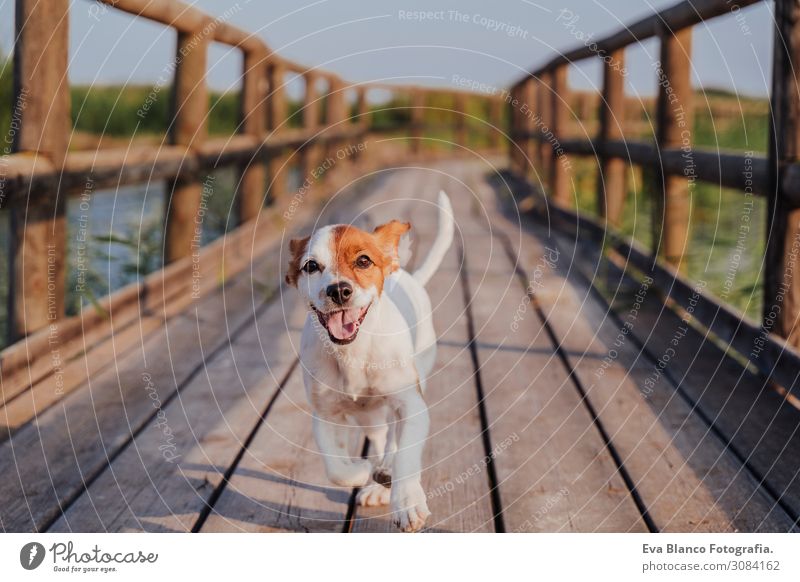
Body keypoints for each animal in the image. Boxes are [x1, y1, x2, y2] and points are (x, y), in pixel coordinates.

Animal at [284, 193, 454, 532]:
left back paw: (386, 476)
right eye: (311, 266)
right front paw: (359, 472)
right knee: (379, 437)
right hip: (368, 416)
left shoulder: (412, 405)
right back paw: (376, 478)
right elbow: (335, 467)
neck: (353, 353)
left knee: (393, 441)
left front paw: (407, 502)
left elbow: (406, 455)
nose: (339, 290)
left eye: (363, 261)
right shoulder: (324, 415)